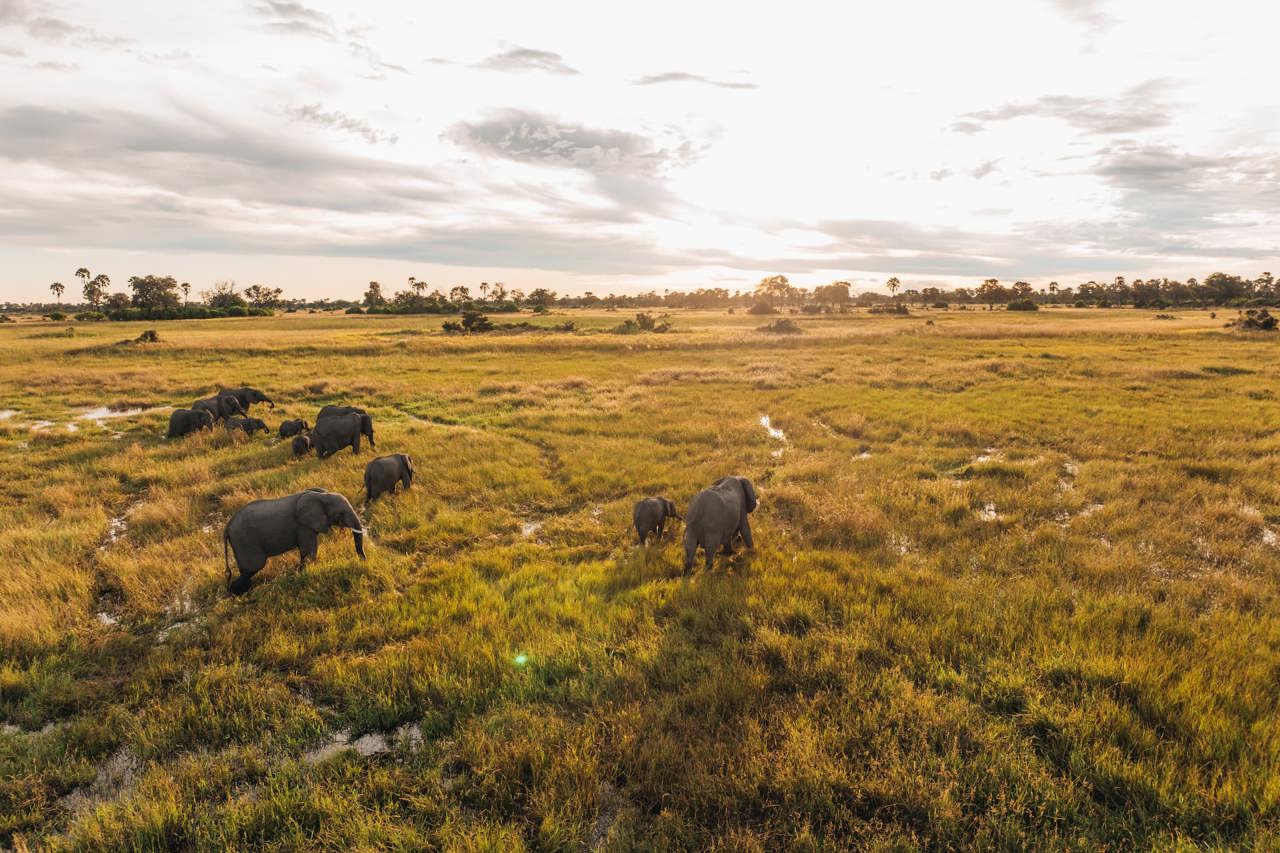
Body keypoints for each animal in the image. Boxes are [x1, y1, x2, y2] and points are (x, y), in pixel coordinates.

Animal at [223, 487, 365, 595]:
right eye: (341, 514)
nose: (363, 560)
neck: (322, 496)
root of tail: (227, 527)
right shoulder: (303, 526)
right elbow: (309, 551)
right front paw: (304, 573)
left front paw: (300, 573)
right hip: (245, 541)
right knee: (252, 568)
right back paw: (236, 594)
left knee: (246, 572)